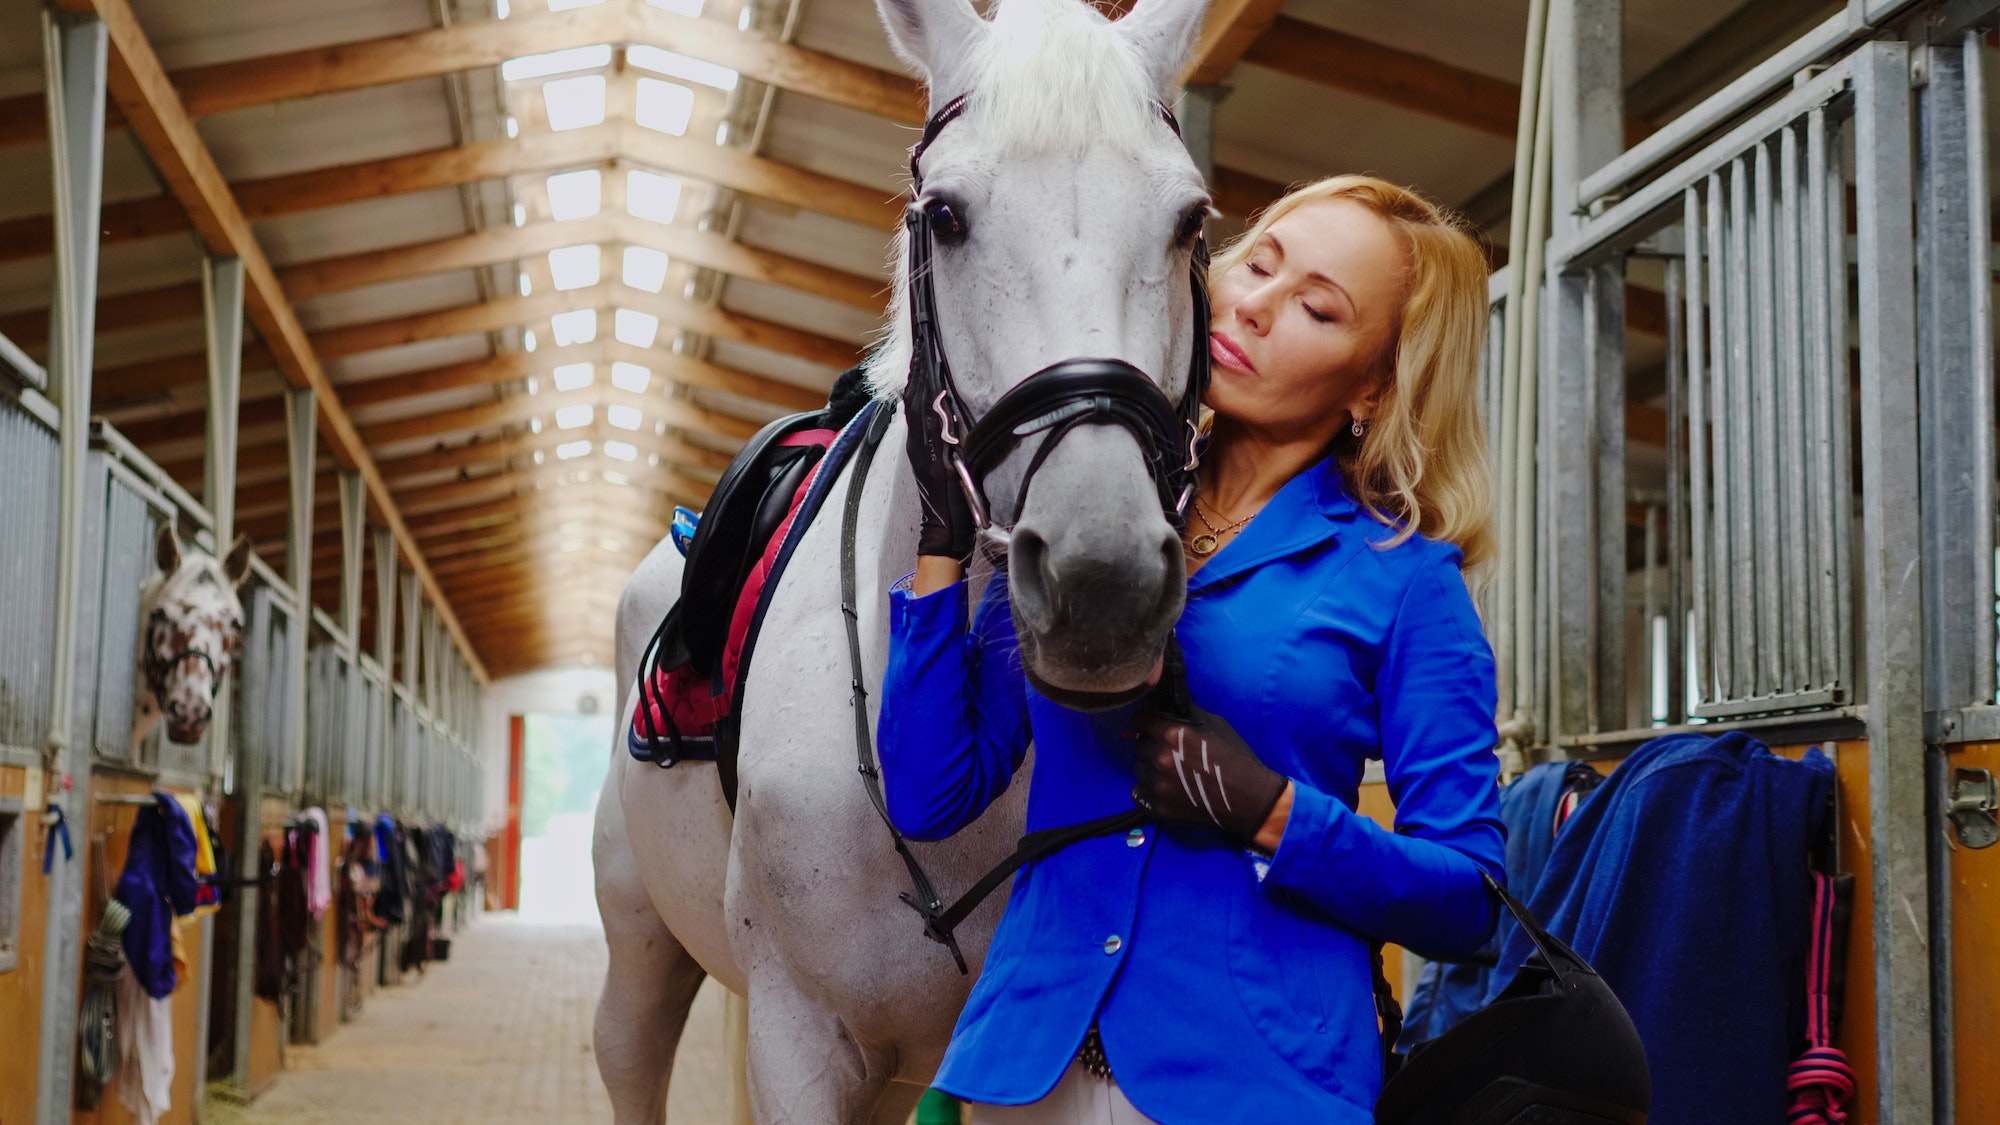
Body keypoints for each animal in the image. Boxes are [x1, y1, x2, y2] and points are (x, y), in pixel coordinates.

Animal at [592, 0, 1215, 1118]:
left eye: (1188, 220)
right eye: (947, 217)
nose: (1100, 581)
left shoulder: (1054, 1057)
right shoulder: (799, 1041)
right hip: (641, 948)